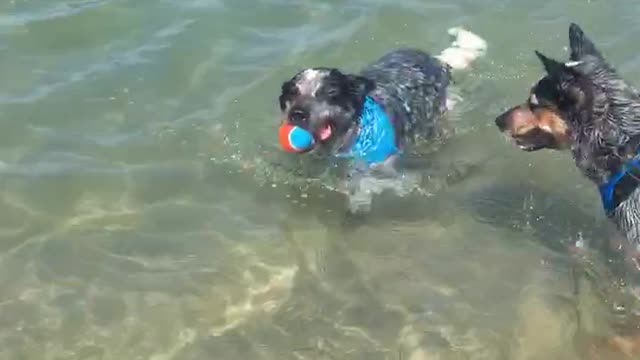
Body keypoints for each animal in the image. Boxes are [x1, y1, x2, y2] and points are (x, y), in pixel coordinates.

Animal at [278, 28, 488, 212]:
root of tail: (436, 60)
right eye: (292, 93)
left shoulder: (382, 166)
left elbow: (369, 182)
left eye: (329, 93)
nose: (297, 113)